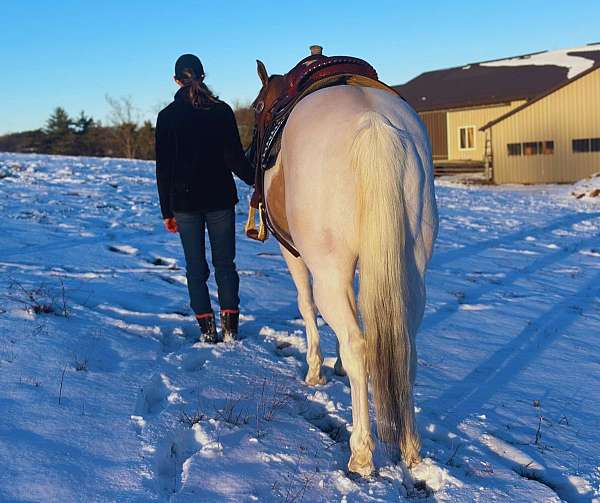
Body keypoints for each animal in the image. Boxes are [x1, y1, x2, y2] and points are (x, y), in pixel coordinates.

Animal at [251, 60, 438, 476]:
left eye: (255, 108)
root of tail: (373, 123)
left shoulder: (294, 254)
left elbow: (306, 306)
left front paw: (317, 370)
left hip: (329, 271)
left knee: (358, 345)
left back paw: (362, 452)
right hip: (411, 270)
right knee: (406, 346)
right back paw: (411, 447)